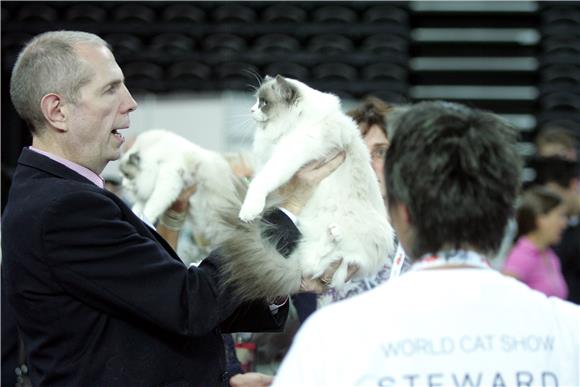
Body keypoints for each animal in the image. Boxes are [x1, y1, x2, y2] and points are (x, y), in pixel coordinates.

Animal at [220, 76, 396, 300]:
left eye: (263, 103)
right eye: (256, 101)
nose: (251, 110)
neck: (299, 121)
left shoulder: (287, 155)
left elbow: (261, 182)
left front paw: (249, 211)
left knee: (323, 263)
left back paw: (334, 235)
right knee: (313, 266)